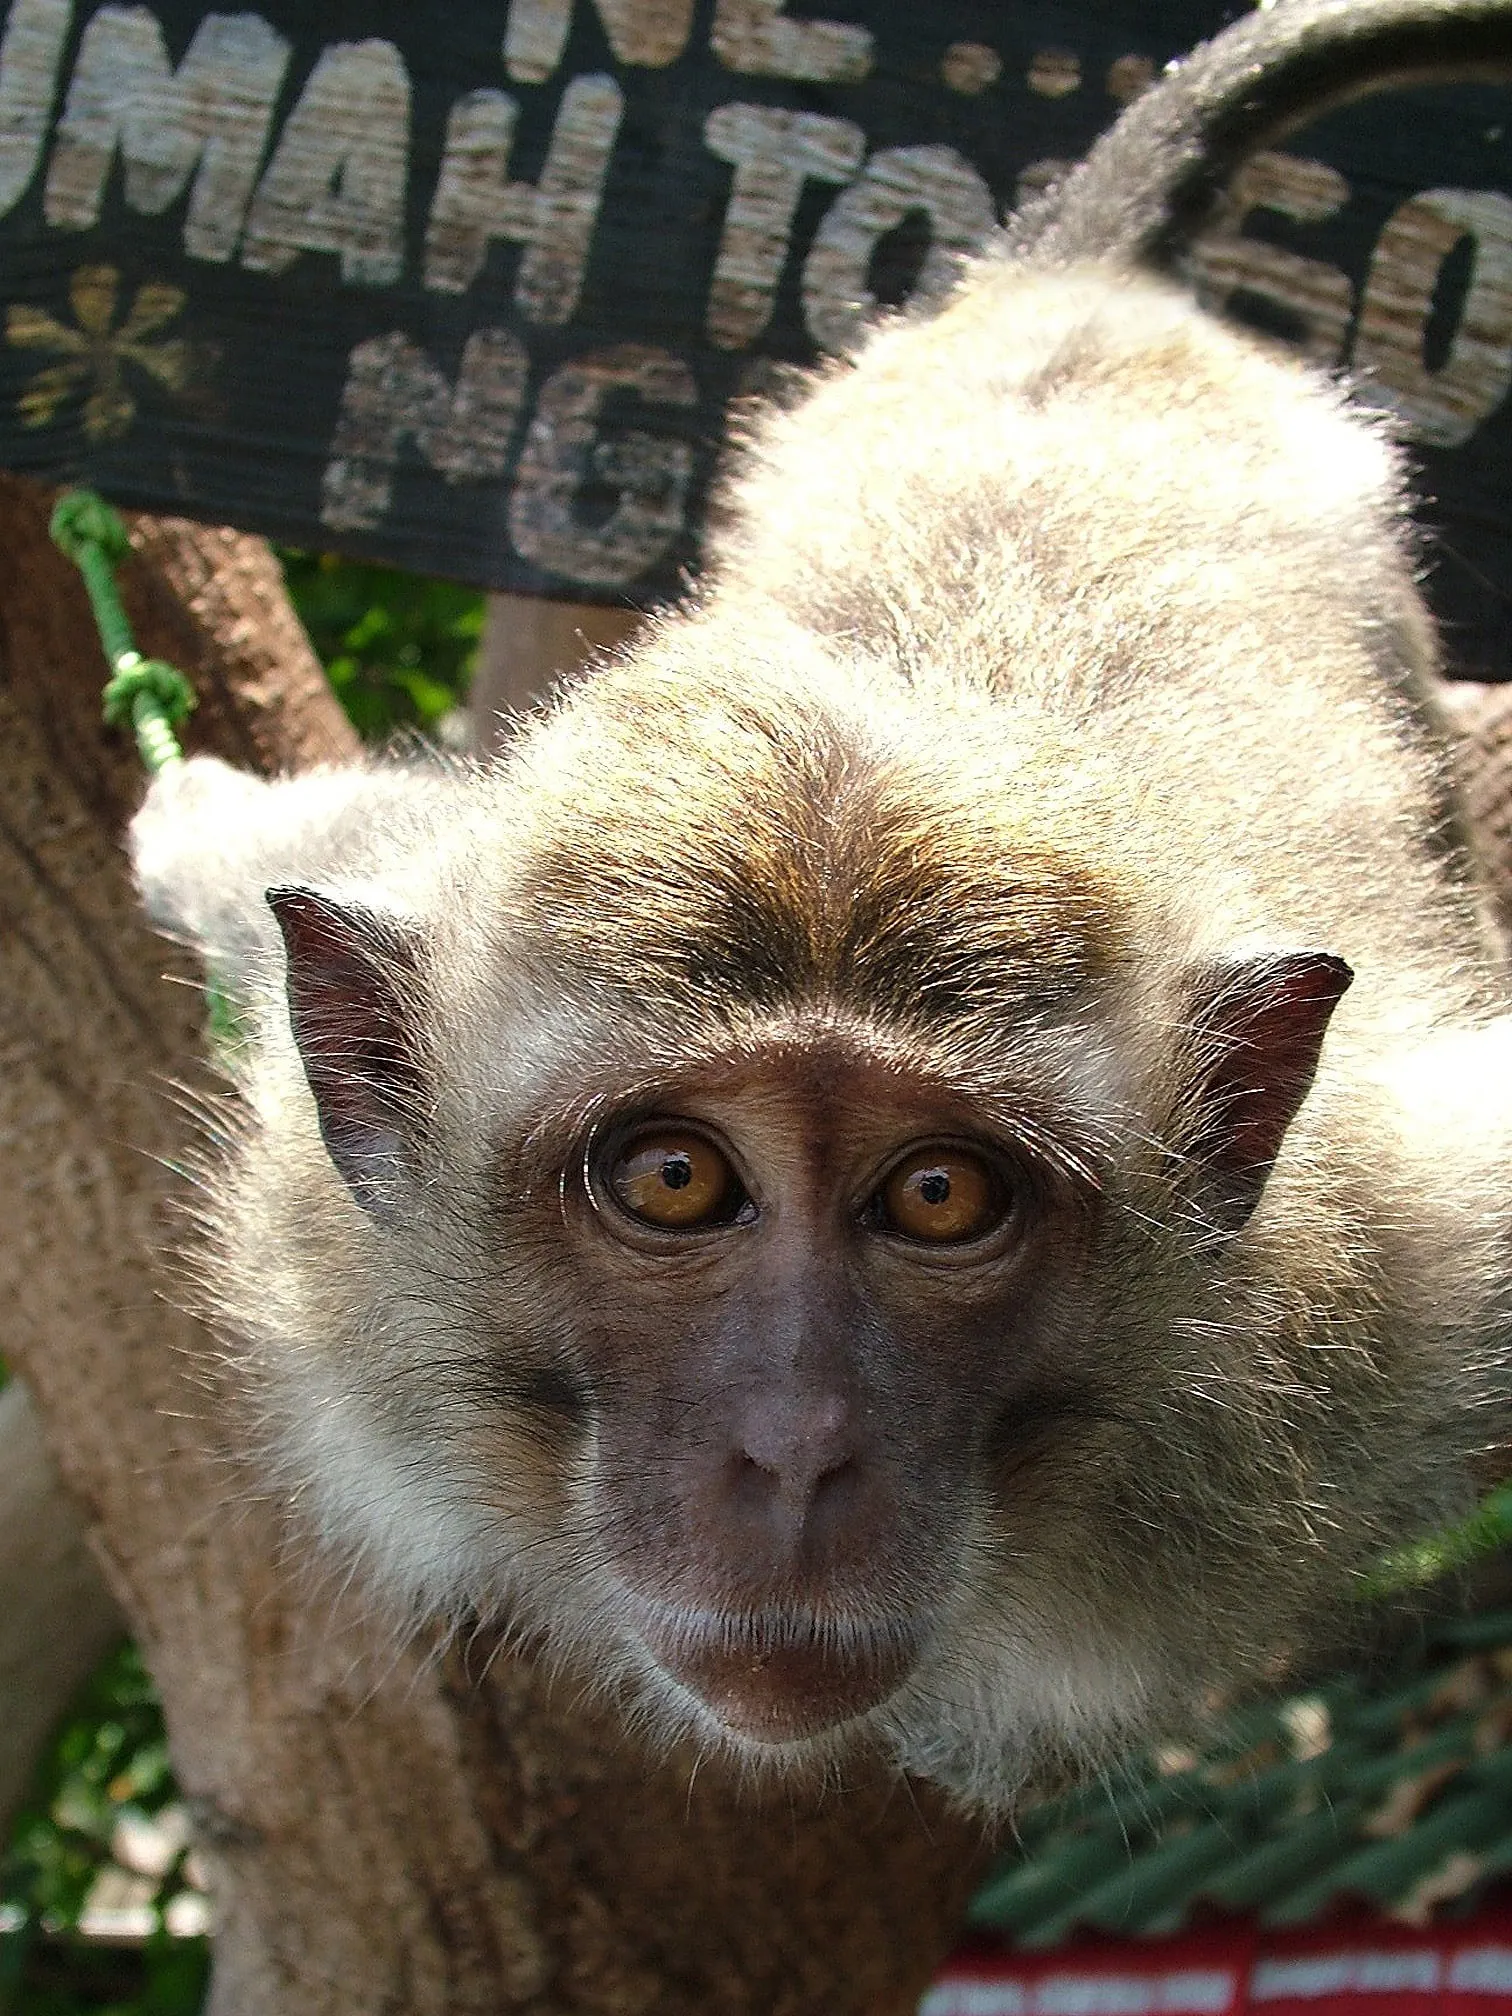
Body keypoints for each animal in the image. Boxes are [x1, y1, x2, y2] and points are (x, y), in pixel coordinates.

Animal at [130, 0, 1512, 1813]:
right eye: (673, 1177)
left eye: (937, 1195)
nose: (794, 1454)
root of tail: (1073, 300)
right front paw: (195, 822)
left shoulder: (1407, 1267)